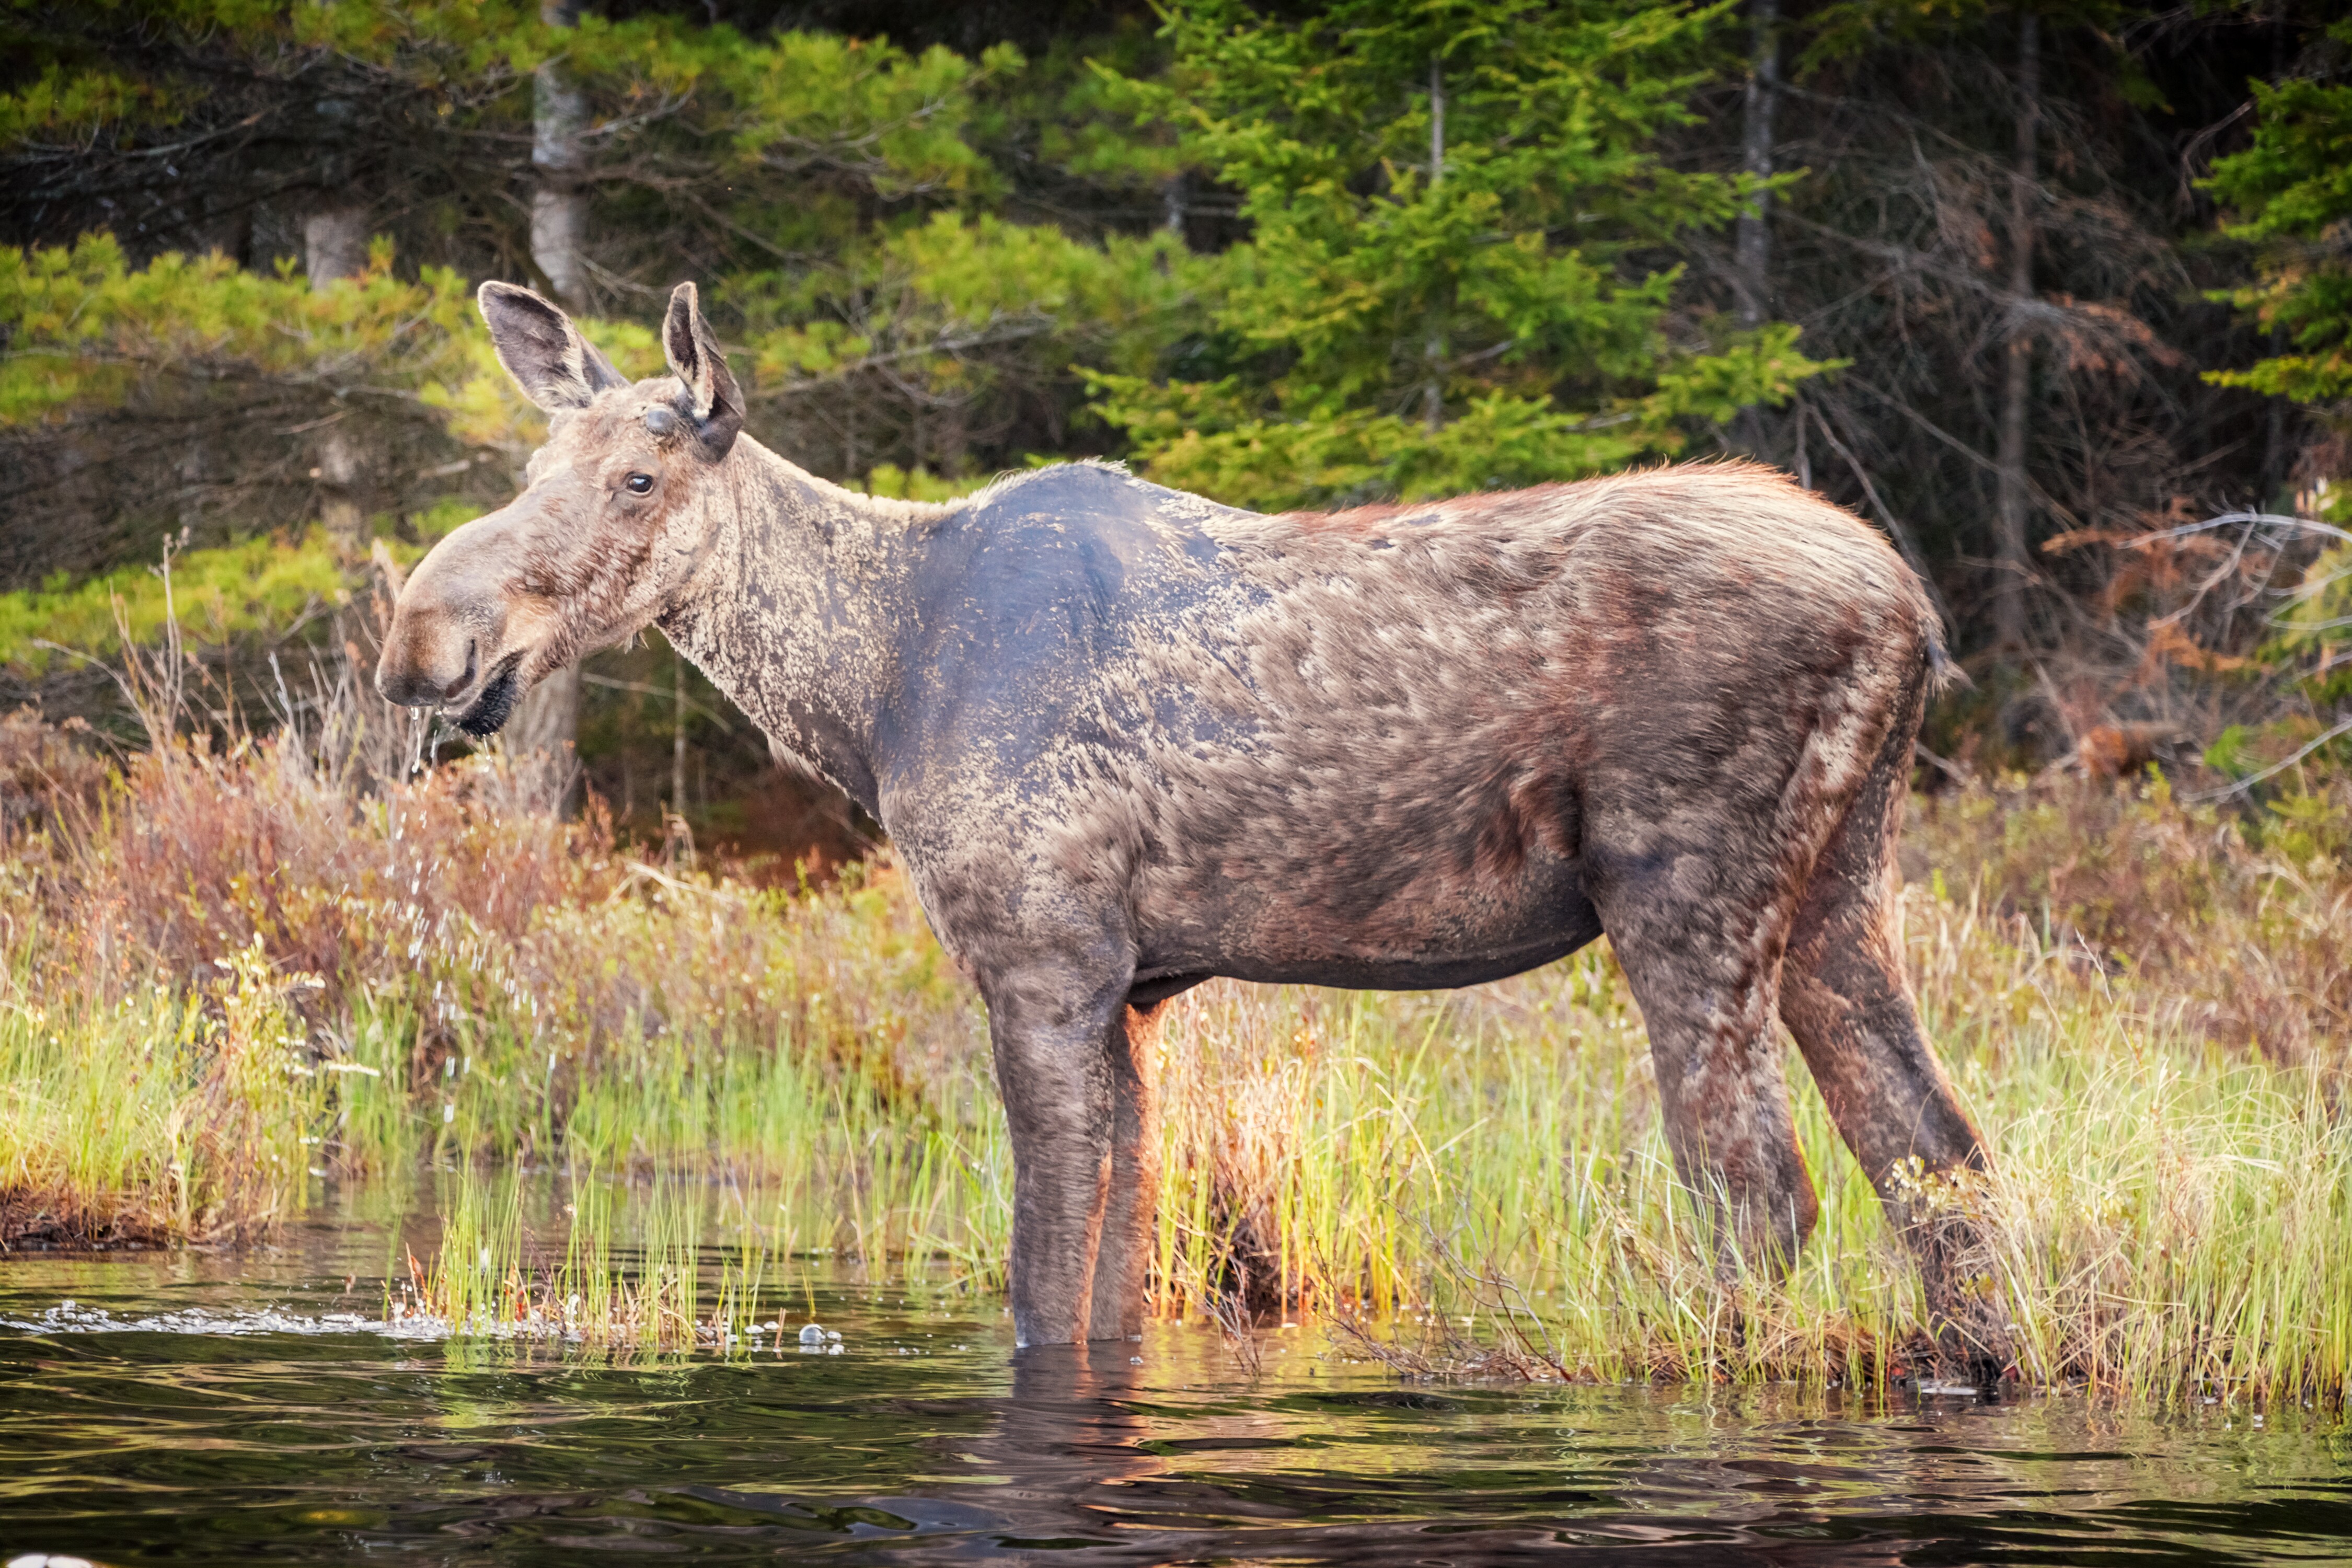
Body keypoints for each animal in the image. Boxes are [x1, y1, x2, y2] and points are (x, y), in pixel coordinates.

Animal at [386, 282, 2004, 1373]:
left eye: (637, 478)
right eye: (529, 472)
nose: (423, 642)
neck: (870, 689)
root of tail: (1912, 610)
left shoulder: (1041, 960)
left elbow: (1042, 1278)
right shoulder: (1136, 986)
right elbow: (1113, 1281)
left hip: (1685, 886)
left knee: (1760, 1192)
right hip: (1837, 891)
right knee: (1939, 1159)